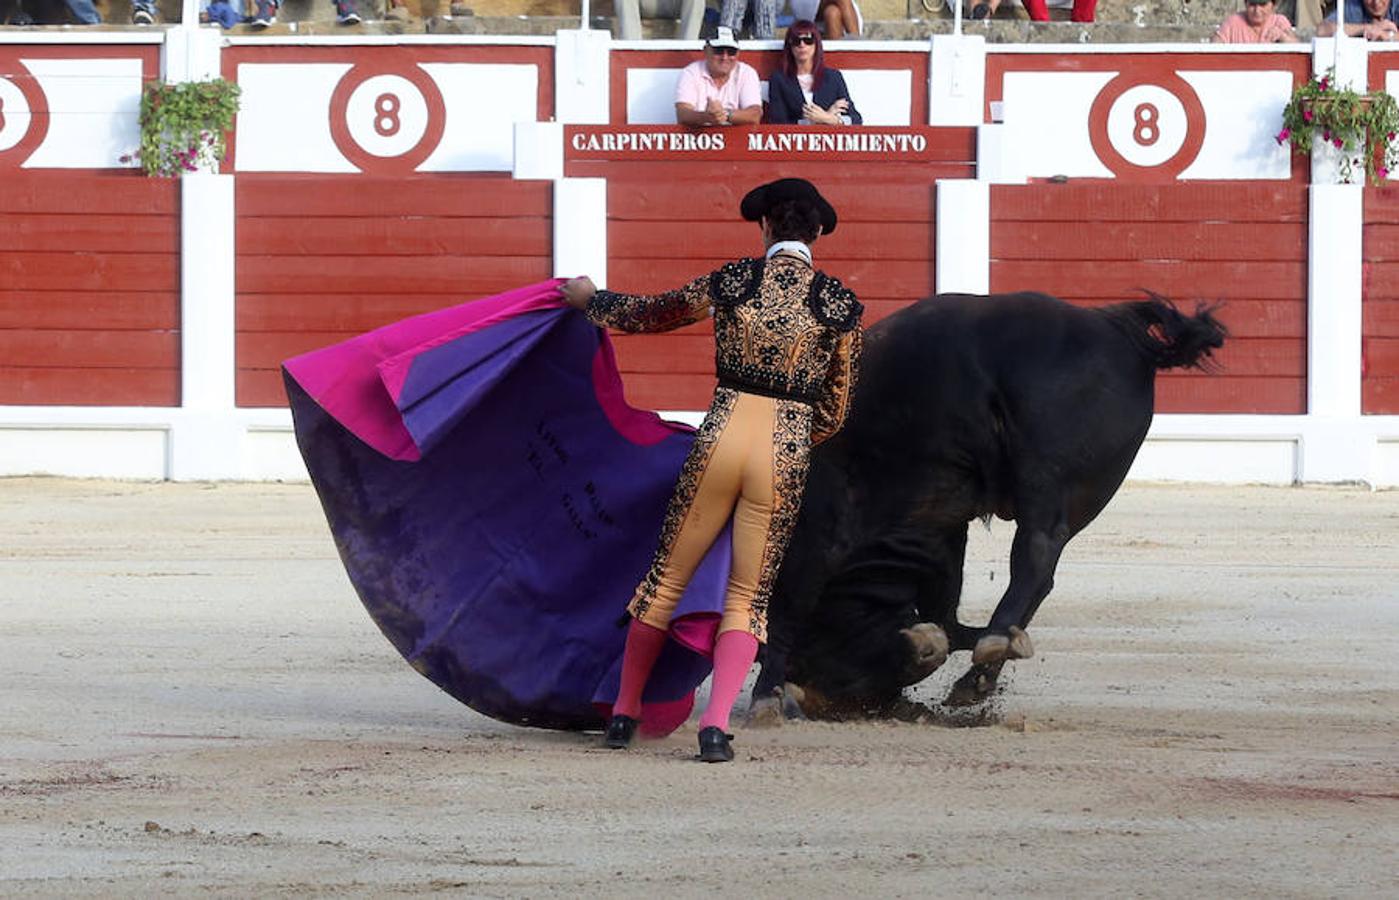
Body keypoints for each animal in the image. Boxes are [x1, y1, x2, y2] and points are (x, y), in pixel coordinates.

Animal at [755, 292, 1225, 722]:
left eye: (824, 657)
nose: (822, 701)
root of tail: (1115, 329)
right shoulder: (943, 542)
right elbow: (948, 619)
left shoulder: (821, 534)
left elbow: (786, 610)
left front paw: (765, 696)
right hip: (1076, 498)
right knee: (1038, 576)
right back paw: (981, 672)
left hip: (1044, 476)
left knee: (1036, 552)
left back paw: (993, 645)